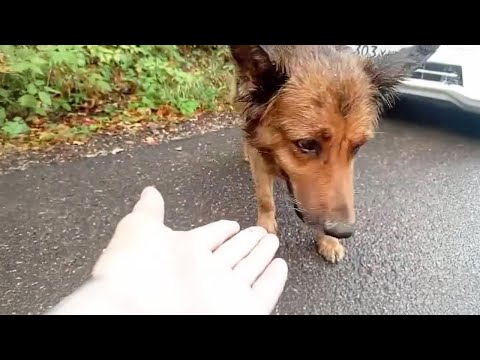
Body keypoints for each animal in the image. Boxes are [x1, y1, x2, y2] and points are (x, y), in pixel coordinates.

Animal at [229, 46, 438, 262]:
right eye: (307, 144)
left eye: (358, 146)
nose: (342, 231)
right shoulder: (259, 150)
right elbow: (265, 198)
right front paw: (266, 226)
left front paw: (328, 241)